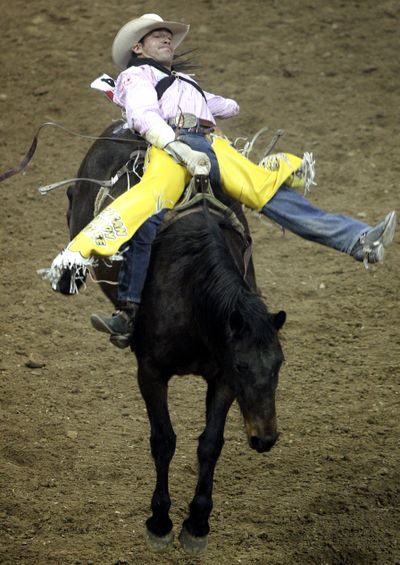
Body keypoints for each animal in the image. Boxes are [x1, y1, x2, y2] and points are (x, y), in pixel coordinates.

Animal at [59, 122, 286, 552]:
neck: (193, 291)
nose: (265, 439)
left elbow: (210, 444)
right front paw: (160, 521)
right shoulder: (150, 372)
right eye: (242, 365)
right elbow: (163, 440)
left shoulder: (221, 379)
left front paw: (197, 523)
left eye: (279, 365)